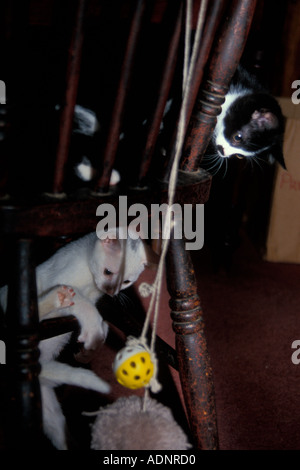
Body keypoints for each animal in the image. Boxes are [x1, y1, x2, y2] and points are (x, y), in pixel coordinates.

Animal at [0, 228, 148, 448]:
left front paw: (88, 350)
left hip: (50, 412)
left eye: (127, 282)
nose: (111, 292)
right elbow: (80, 300)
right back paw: (57, 297)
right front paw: (93, 328)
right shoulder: (62, 281)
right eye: (108, 272)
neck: (90, 280)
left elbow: (101, 322)